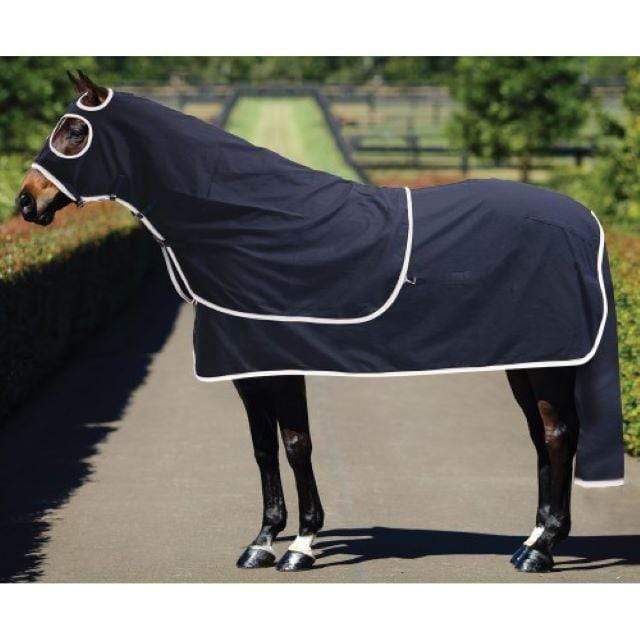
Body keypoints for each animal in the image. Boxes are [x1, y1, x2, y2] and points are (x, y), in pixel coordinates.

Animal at [16, 70, 623, 574]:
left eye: (74, 131)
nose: (26, 203)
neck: (247, 226)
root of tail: (586, 219)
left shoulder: (282, 364)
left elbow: (295, 444)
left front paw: (302, 546)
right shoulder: (247, 369)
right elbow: (262, 448)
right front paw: (263, 541)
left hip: (549, 363)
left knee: (558, 434)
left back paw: (542, 549)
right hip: (529, 360)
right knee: (541, 436)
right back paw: (532, 539)